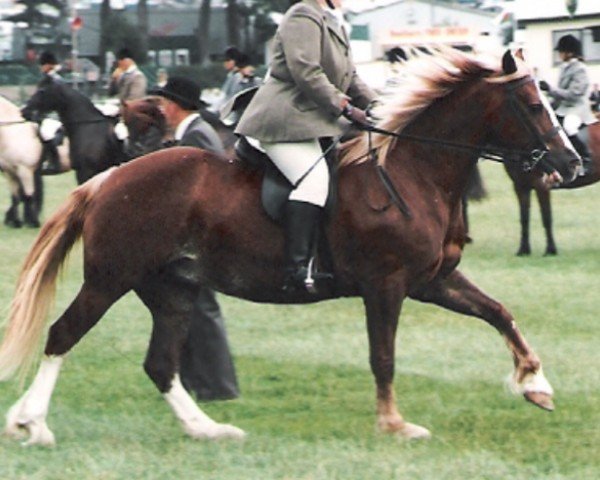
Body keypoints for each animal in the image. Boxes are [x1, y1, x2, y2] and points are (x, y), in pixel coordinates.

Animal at [0, 96, 69, 229]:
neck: (14, 132)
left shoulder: (25, 171)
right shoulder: (10, 173)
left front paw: (33, 222)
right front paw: (16, 222)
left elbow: (28, 196)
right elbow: (16, 198)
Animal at [504, 120, 596, 255]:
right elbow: (524, 217)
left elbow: (546, 217)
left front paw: (550, 250)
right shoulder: (520, 185)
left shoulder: (542, 184)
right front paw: (523, 250)